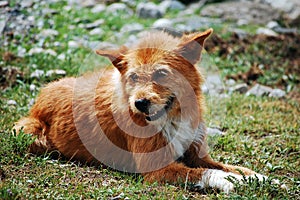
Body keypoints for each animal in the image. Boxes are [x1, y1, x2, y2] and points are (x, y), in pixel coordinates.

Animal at [15, 28, 266, 193]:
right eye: (134, 77)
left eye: (161, 73)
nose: (140, 103)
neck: (172, 118)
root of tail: (42, 93)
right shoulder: (158, 170)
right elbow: (209, 173)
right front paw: (231, 181)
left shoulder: (198, 155)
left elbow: (234, 167)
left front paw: (261, 178)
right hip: (31, 134)